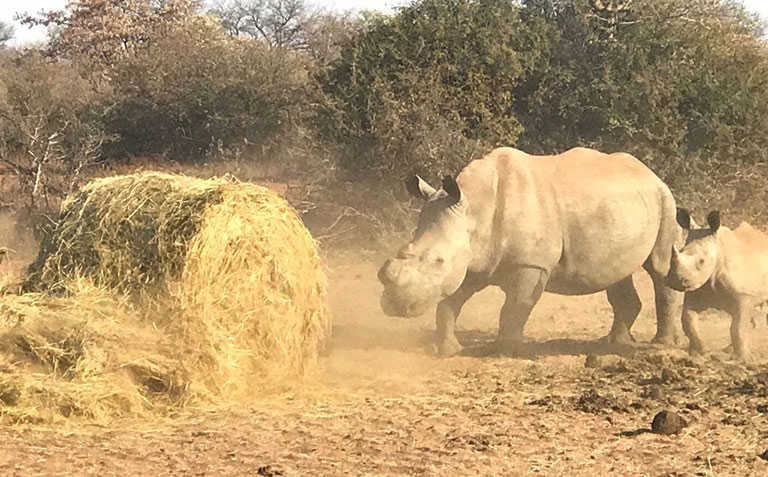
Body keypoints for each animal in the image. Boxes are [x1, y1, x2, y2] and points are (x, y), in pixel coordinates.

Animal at [376, 147, 680, 356]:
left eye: (438, 261)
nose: (393, 305)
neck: (473, 209)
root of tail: (650, 173)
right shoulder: (475, 262)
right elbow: (450, 303)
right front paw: (449, 350)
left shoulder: (531, 265)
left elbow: (514, 307)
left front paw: (504, 351)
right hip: (622, 209)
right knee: (616, 273)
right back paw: (612, 343)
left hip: (665, 199)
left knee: (659, 266)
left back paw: (661, 344)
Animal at [664, 210, 768, 358]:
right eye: (681, 250)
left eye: (702, 261)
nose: (675, 281)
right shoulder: (697, 291)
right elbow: (688, 320)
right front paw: (700, 352)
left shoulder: (744, 296)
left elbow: (737, 327)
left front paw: (742, 358)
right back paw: (727, 349)